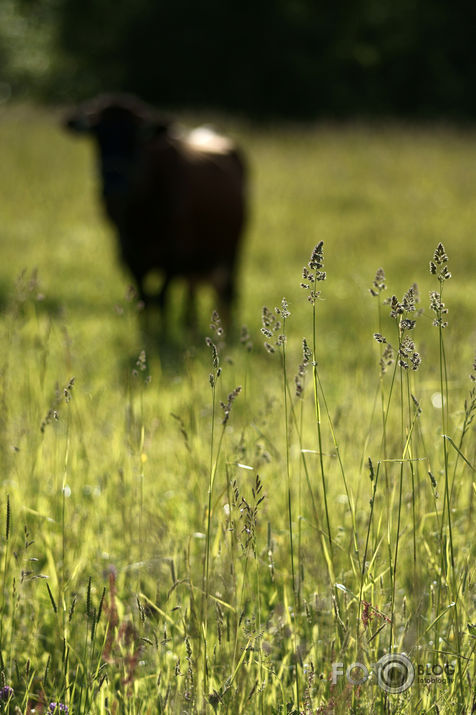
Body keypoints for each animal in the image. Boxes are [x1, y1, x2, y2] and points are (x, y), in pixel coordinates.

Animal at [64, 95, 247, 328]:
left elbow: (161, 299)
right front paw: (147, 331)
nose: (114, 185)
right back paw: (191, 324)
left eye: (134, 138)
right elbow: (144, 299)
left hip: (231, 251)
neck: (142, 217)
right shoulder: (129, 254)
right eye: (98, 135)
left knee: (227, 292)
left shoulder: (173, 255)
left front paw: (162, 333)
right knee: (193, 290)